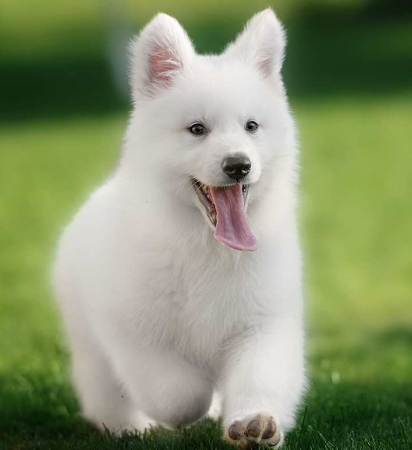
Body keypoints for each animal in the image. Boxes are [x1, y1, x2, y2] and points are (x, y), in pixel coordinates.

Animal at [53, 7, 306, 450]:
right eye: (197, 129)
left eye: (251, 126)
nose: (238, 164)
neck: (206, 245)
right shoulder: (134, 331)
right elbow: (177, 393)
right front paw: (197, 407)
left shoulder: (262, 321)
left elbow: (259, 377)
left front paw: (254, 422)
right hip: (88, 343)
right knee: (105, 392)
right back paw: (128, 427)